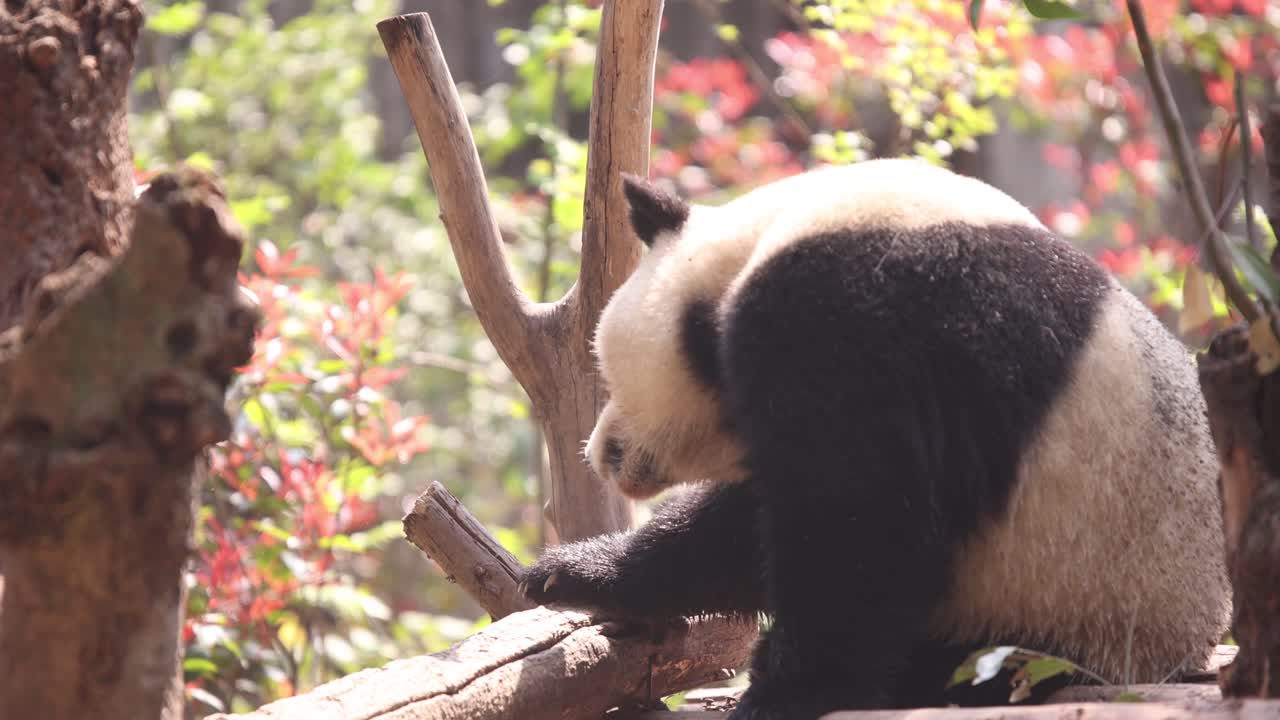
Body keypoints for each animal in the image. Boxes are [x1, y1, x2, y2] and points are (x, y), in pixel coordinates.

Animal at [519, 158, 1231, 719]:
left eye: (611, 374)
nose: (602, 454)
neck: (759, 241)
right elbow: (749, 528)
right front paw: (574, 572)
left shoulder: (846, 320)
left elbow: (858, 523)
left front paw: (786, 694)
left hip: (1064, 610)